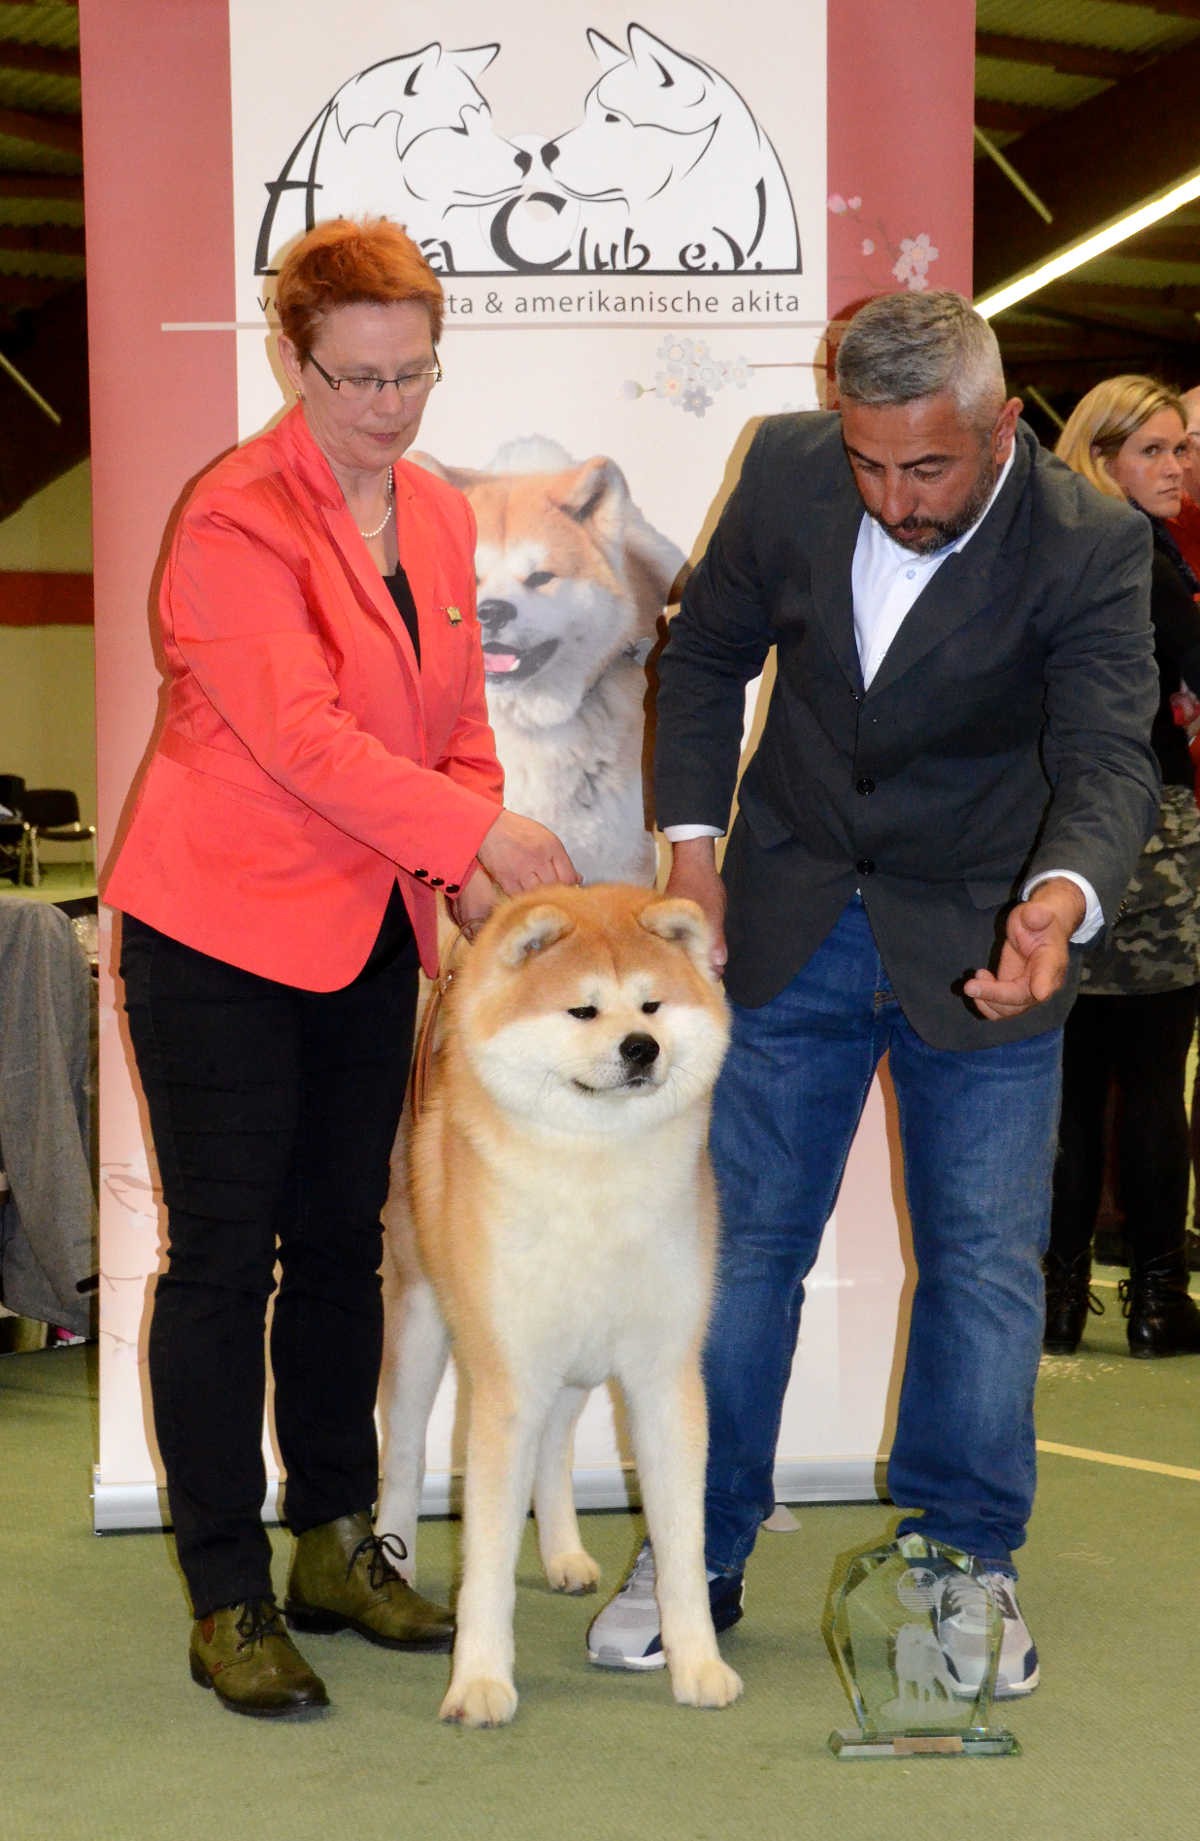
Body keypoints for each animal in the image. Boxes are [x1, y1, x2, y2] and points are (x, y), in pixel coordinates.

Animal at [380, 883, 740, 1727]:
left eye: (652, 1002)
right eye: (583, 1009)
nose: (641, 1047)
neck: (597, 1169)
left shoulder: (664, 1375)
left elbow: (682, 1544)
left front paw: (697, 1662)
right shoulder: (508, 1381)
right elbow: (483, 1560)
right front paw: (480, 1680)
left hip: (574, 1367)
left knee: (555, 1450)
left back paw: (564, 1553)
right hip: (423, 1329)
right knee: (404, 1454)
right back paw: (392, 1560)